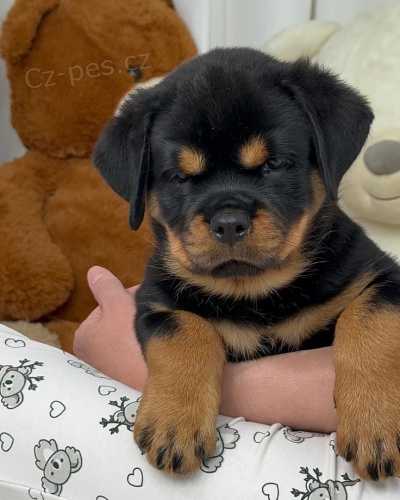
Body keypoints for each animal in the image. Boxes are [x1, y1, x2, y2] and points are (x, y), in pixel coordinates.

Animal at [93, 48, 400, 481]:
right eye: (179, 177)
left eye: (273, 165)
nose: (228, 222)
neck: (255, 293)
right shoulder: (156, 301)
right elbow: (186, 331)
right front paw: (174, 423)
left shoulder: (384, 277)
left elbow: (369, 319)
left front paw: (375, 423)